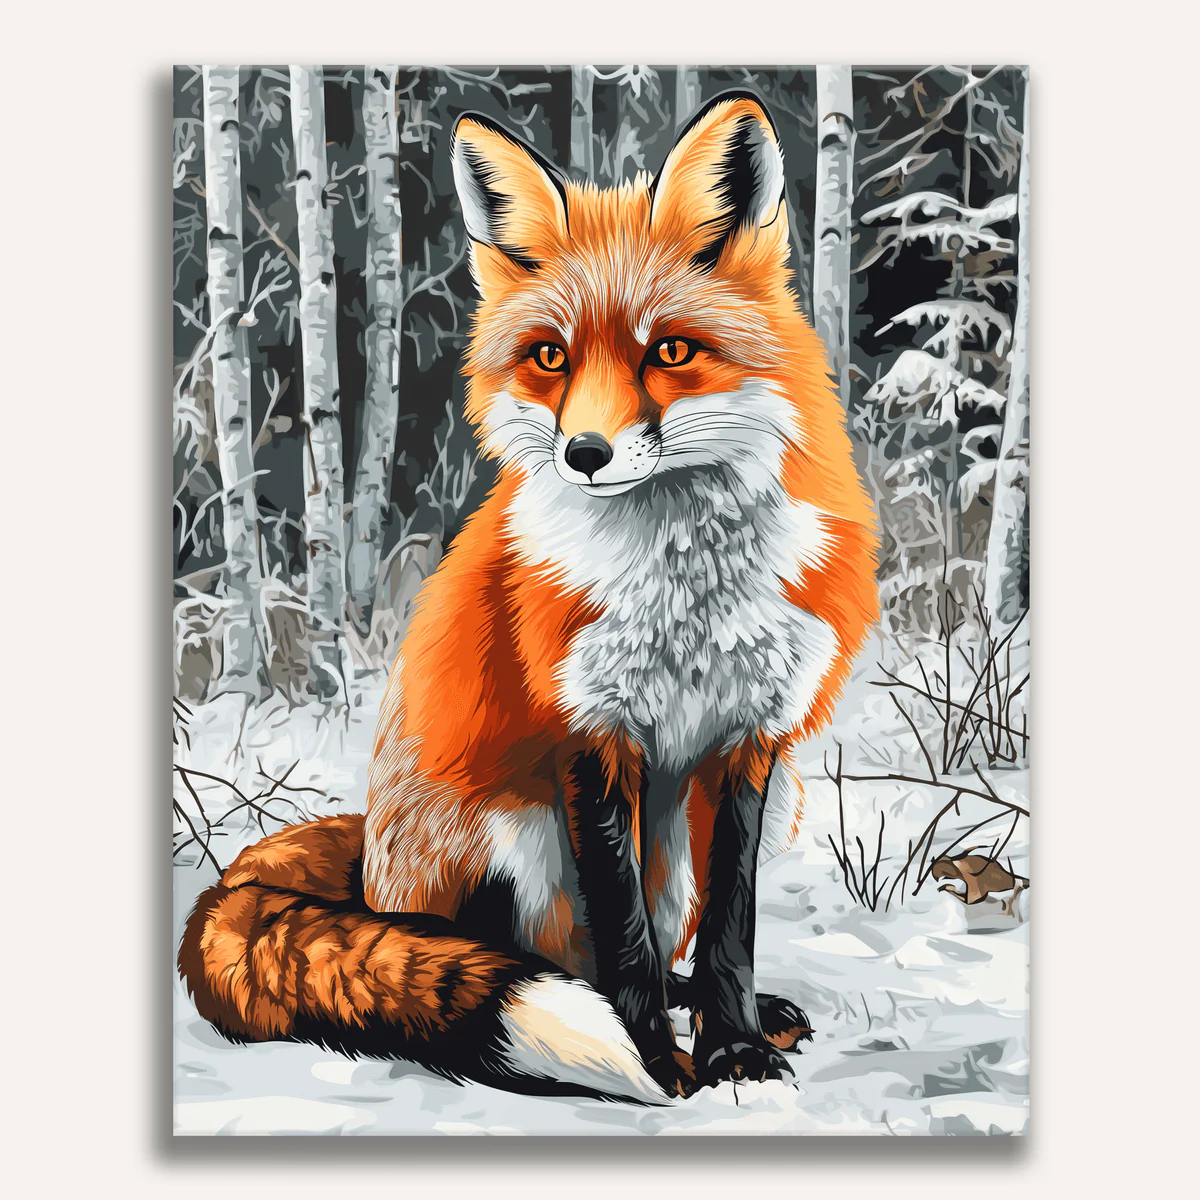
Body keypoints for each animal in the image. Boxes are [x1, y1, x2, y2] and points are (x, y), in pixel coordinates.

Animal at [179, 91, 879, 1103]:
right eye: (551, 357)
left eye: (670, 351)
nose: (585, 453)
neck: (684, 591)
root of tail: (366, 858)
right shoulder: (587, 734)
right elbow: (620, 941)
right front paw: (656, 1061)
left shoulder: (751, 740)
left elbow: (731, 929)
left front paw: (734, 1047)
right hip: (512, 836)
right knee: (529, 957)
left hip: (702, 825)